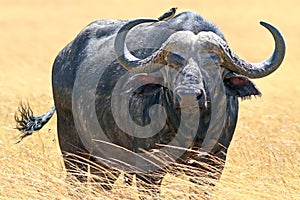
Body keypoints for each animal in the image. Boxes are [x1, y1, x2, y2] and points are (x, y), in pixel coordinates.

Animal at [15, 10, 284, 197]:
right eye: (172, 62)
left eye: (213, 63)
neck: (191, 129)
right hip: (72, 147)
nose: (188, 95)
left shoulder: (211, 167)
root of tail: (63, 57)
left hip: (106, 160)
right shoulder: (149, 170)